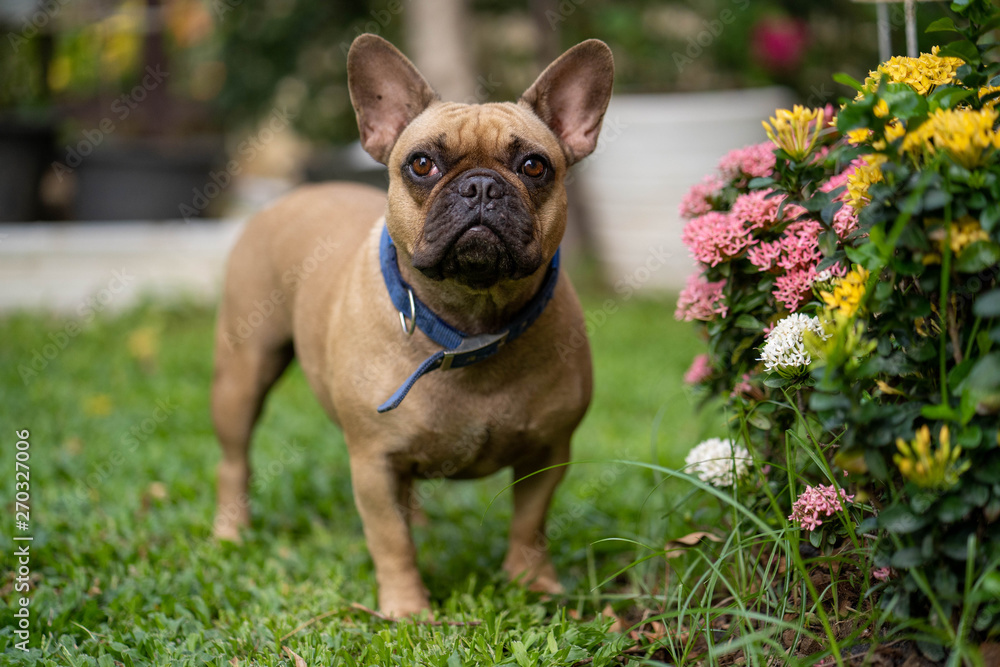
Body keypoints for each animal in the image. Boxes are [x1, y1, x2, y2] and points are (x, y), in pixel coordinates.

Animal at [213, 34, 608, 620]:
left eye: (535, 167)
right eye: (421, 163)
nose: (481, 186)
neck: (469, 322)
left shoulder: (547, 453)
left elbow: (529, 525)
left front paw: (533, 584)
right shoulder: (373, 462)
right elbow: (390, 541)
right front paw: (407, 610)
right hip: (242, 375)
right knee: (234, 460)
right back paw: (230, 533)